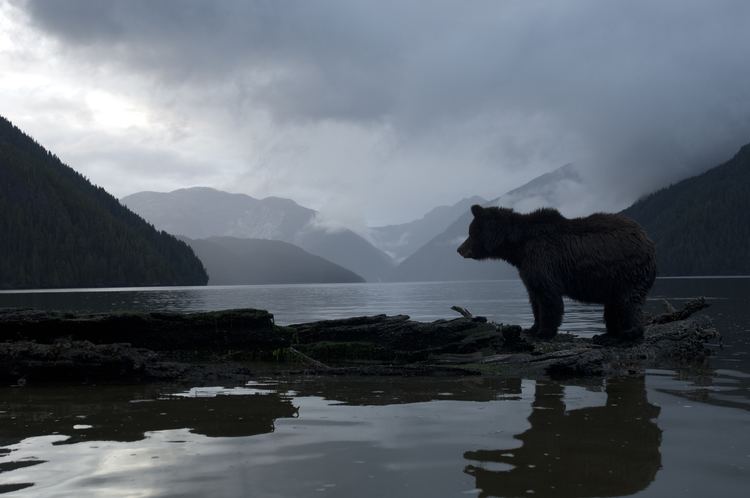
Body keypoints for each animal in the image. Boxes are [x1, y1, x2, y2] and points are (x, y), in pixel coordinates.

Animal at [456, 204, 656, 340]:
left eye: (471, 232)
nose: (459, 249)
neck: (519, 247)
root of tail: (647, 239)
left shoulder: (543, 258)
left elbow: (548, 297)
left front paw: (544, 332)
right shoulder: (527, 267)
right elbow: (534, 297)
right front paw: (532, 328)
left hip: (628, 271)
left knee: (628, 302)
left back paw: (629, 333)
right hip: (615, 280)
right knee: (614, 306)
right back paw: (607, 335)